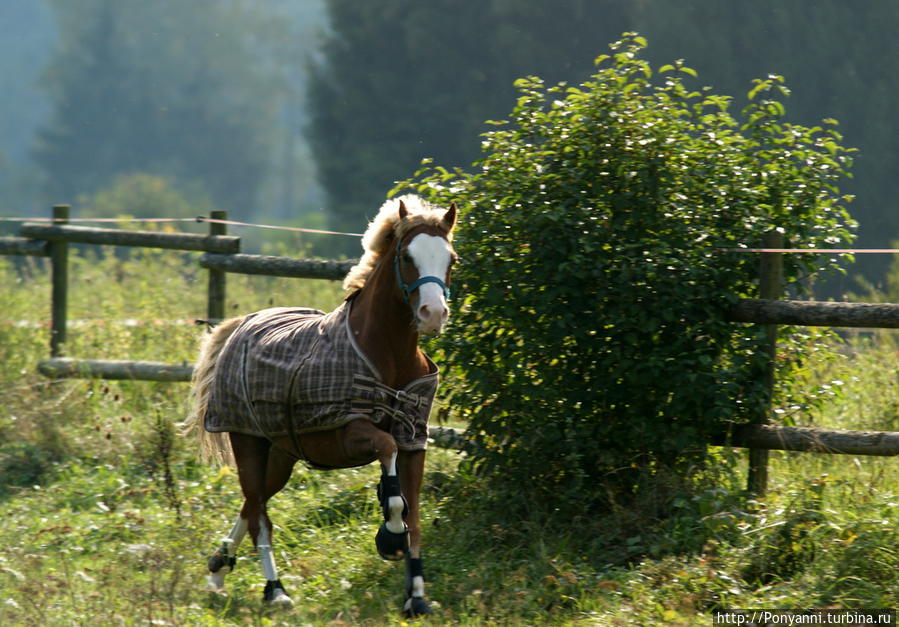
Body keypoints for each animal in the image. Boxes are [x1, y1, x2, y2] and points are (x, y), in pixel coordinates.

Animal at [182, 196, 458, 620]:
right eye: (406, 256)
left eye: (451, 258)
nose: (433, 314)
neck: (387, 355)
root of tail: (242, 324)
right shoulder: (350, 432)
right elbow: (390, 465)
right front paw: (389, 534)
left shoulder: (414, 441)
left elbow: (415, 516)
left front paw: (416, 597)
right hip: (248, 443)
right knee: (259, 515)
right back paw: (275, 591)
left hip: (280, 455)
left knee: (252, 503)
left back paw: (218, 569)